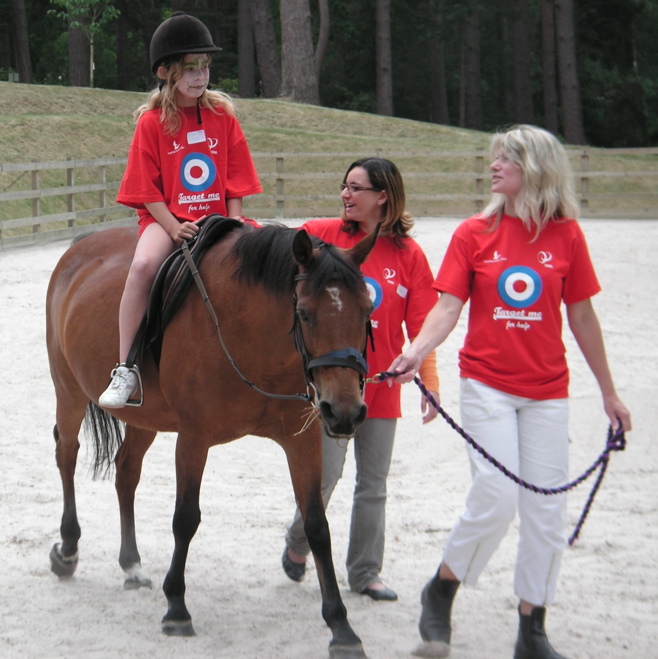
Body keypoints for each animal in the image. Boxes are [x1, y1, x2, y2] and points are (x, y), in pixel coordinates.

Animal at [44, 219, 374, 656]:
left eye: (367, 311)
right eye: (304, 313)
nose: (344, 411)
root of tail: (79, 248)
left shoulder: (301, 442)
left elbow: (317, 526)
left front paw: (341, 626)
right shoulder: (194, 438)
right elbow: (185, 519)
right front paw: (176, 608)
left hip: (144, 418)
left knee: (126, 473)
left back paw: (131, 563)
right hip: (68, 391)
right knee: (66, 454)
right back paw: (68, 549)